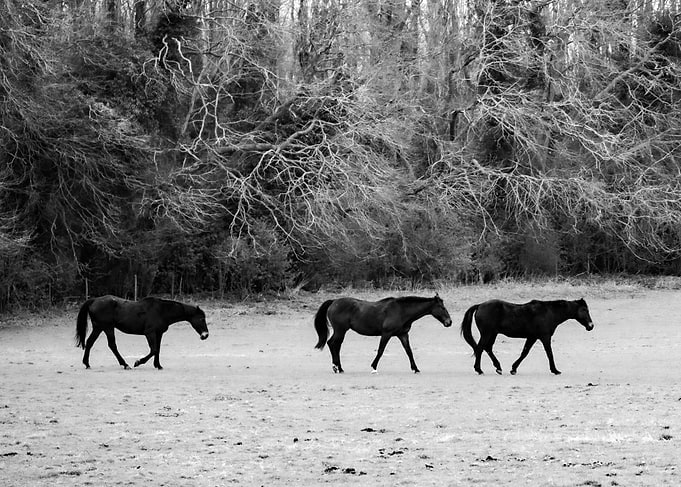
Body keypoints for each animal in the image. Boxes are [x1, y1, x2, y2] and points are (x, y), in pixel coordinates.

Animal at [75, 295, 209, 370]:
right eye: (202, 319)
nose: (205, 335)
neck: (161, 311)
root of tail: (94, 300)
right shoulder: (150, 333)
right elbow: (153, 350)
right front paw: (138, 362)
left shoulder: (159, 333)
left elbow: (157, 349)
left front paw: (158, 365)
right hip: (107, 328)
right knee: (112, 345)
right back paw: (125, 365)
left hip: (98, 328)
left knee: (90, 342)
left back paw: (87, 364)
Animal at [314, 294, 453, 374]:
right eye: (442, 308)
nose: (449, 322)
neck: (401, 311)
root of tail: (334, 301)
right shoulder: (386, 334)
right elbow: (380, 351)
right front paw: (373, 367)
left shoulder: (403, 335)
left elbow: (409, 351)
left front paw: (415, 369)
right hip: (340, 330)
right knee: (333, 344)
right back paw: (336, 368)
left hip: (341, 331)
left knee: (334, 345)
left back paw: (339, 368)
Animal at [460, 298, 594, 375]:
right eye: (584, 309)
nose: (591, 326)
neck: (549, 313)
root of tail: (479, 305)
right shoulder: (545, 337)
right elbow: (549, 353)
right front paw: (555, 370)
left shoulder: (532, 337)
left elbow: (524, 352)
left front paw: (513, 369)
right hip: (487, 333)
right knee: (480, 348)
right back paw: (479, 370)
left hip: (493, 334)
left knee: (487, 348)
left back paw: (498, 368)